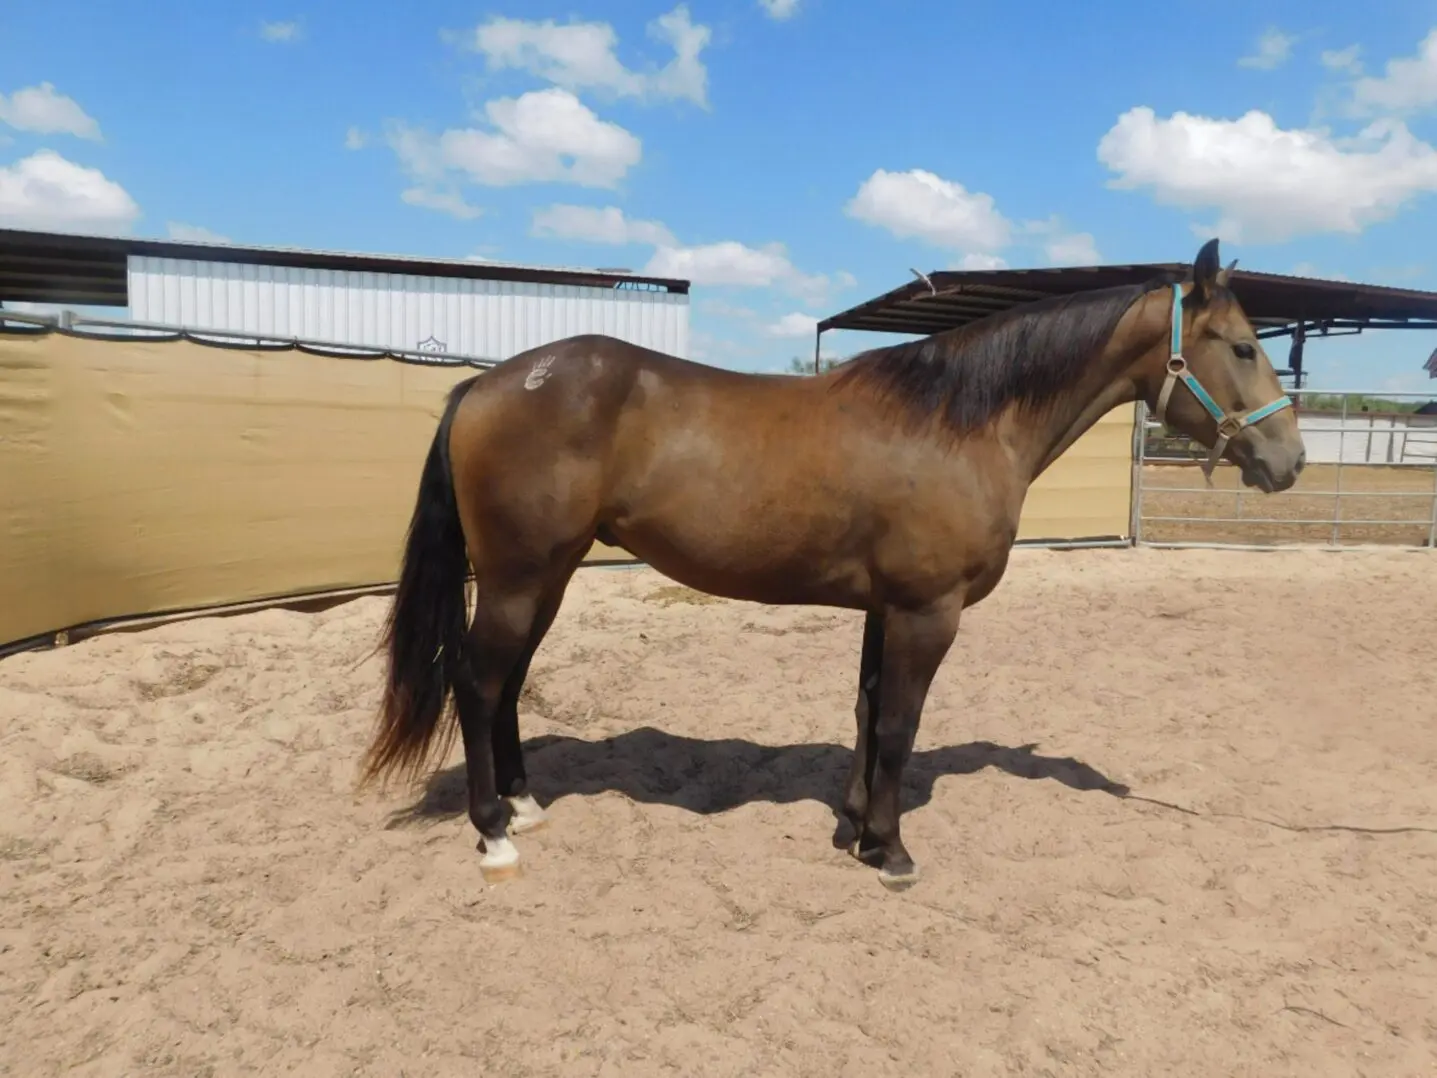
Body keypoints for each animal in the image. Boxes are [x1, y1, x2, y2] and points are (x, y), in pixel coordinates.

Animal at [356, 237, 1306, 891]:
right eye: (1243, 346)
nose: (1287, 462)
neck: (959, 423)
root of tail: (482, 385)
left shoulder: (885, 608)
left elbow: (866, 710)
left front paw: (856, 827)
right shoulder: (927, 611)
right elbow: (899, 726)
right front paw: (892, 852)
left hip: (543, 577)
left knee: (507, 682)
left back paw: (524, 806)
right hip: (518, 577)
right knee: (478, 682)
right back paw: (493, 834)